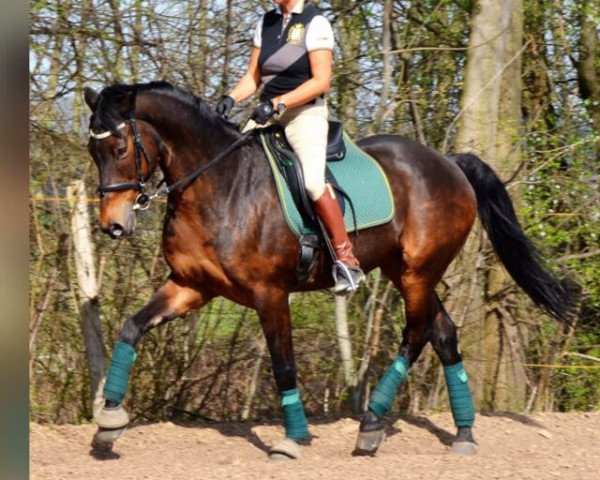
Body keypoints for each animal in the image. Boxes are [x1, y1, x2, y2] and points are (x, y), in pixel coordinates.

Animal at [83, 81, 572, 458]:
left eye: (120, 147)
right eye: (92, 150)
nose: (112, 225)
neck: (218, 185)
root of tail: (449, 162)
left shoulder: (270, 294)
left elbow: (283, 365)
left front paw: (293, 440)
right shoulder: (190, 286)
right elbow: (131, 328)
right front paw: (109, 422)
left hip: (417, 272)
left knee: (416, 334)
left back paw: (372, 424)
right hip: (405, 271)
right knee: (443, 332)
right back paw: (464, 434)